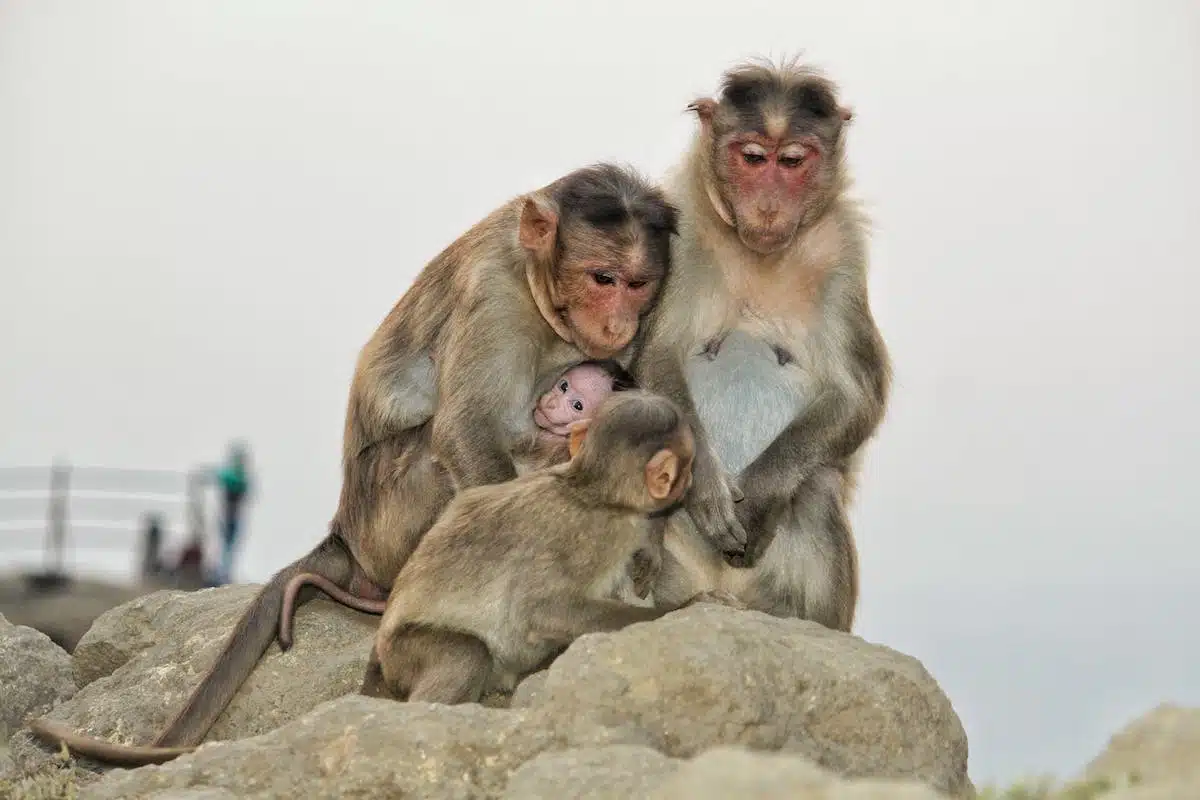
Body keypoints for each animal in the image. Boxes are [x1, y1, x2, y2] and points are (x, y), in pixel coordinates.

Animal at [28, 160, 686, 762]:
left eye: (638, 285)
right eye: (602, 278)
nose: (618, 320)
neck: (537, 291)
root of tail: (342, 529)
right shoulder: (494, 293)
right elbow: (465, 431)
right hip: (387, 515)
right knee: (435, 458)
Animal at [355, 391, 739, 705]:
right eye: (687, 465)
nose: (690, 479)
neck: (586, 488)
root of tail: (381, 652)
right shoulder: (597, 537)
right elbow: (542, 609)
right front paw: (686, 608)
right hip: (406, 652)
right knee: (468, 655)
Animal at [633, 57, 888, 633]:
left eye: (792, 161)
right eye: (752, 158)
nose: (769, 206)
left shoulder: (842, 252)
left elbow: (855, 396)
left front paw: (762, 494)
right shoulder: (677, 232)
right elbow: (655, 360)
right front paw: (705, 483)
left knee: (816, 484)